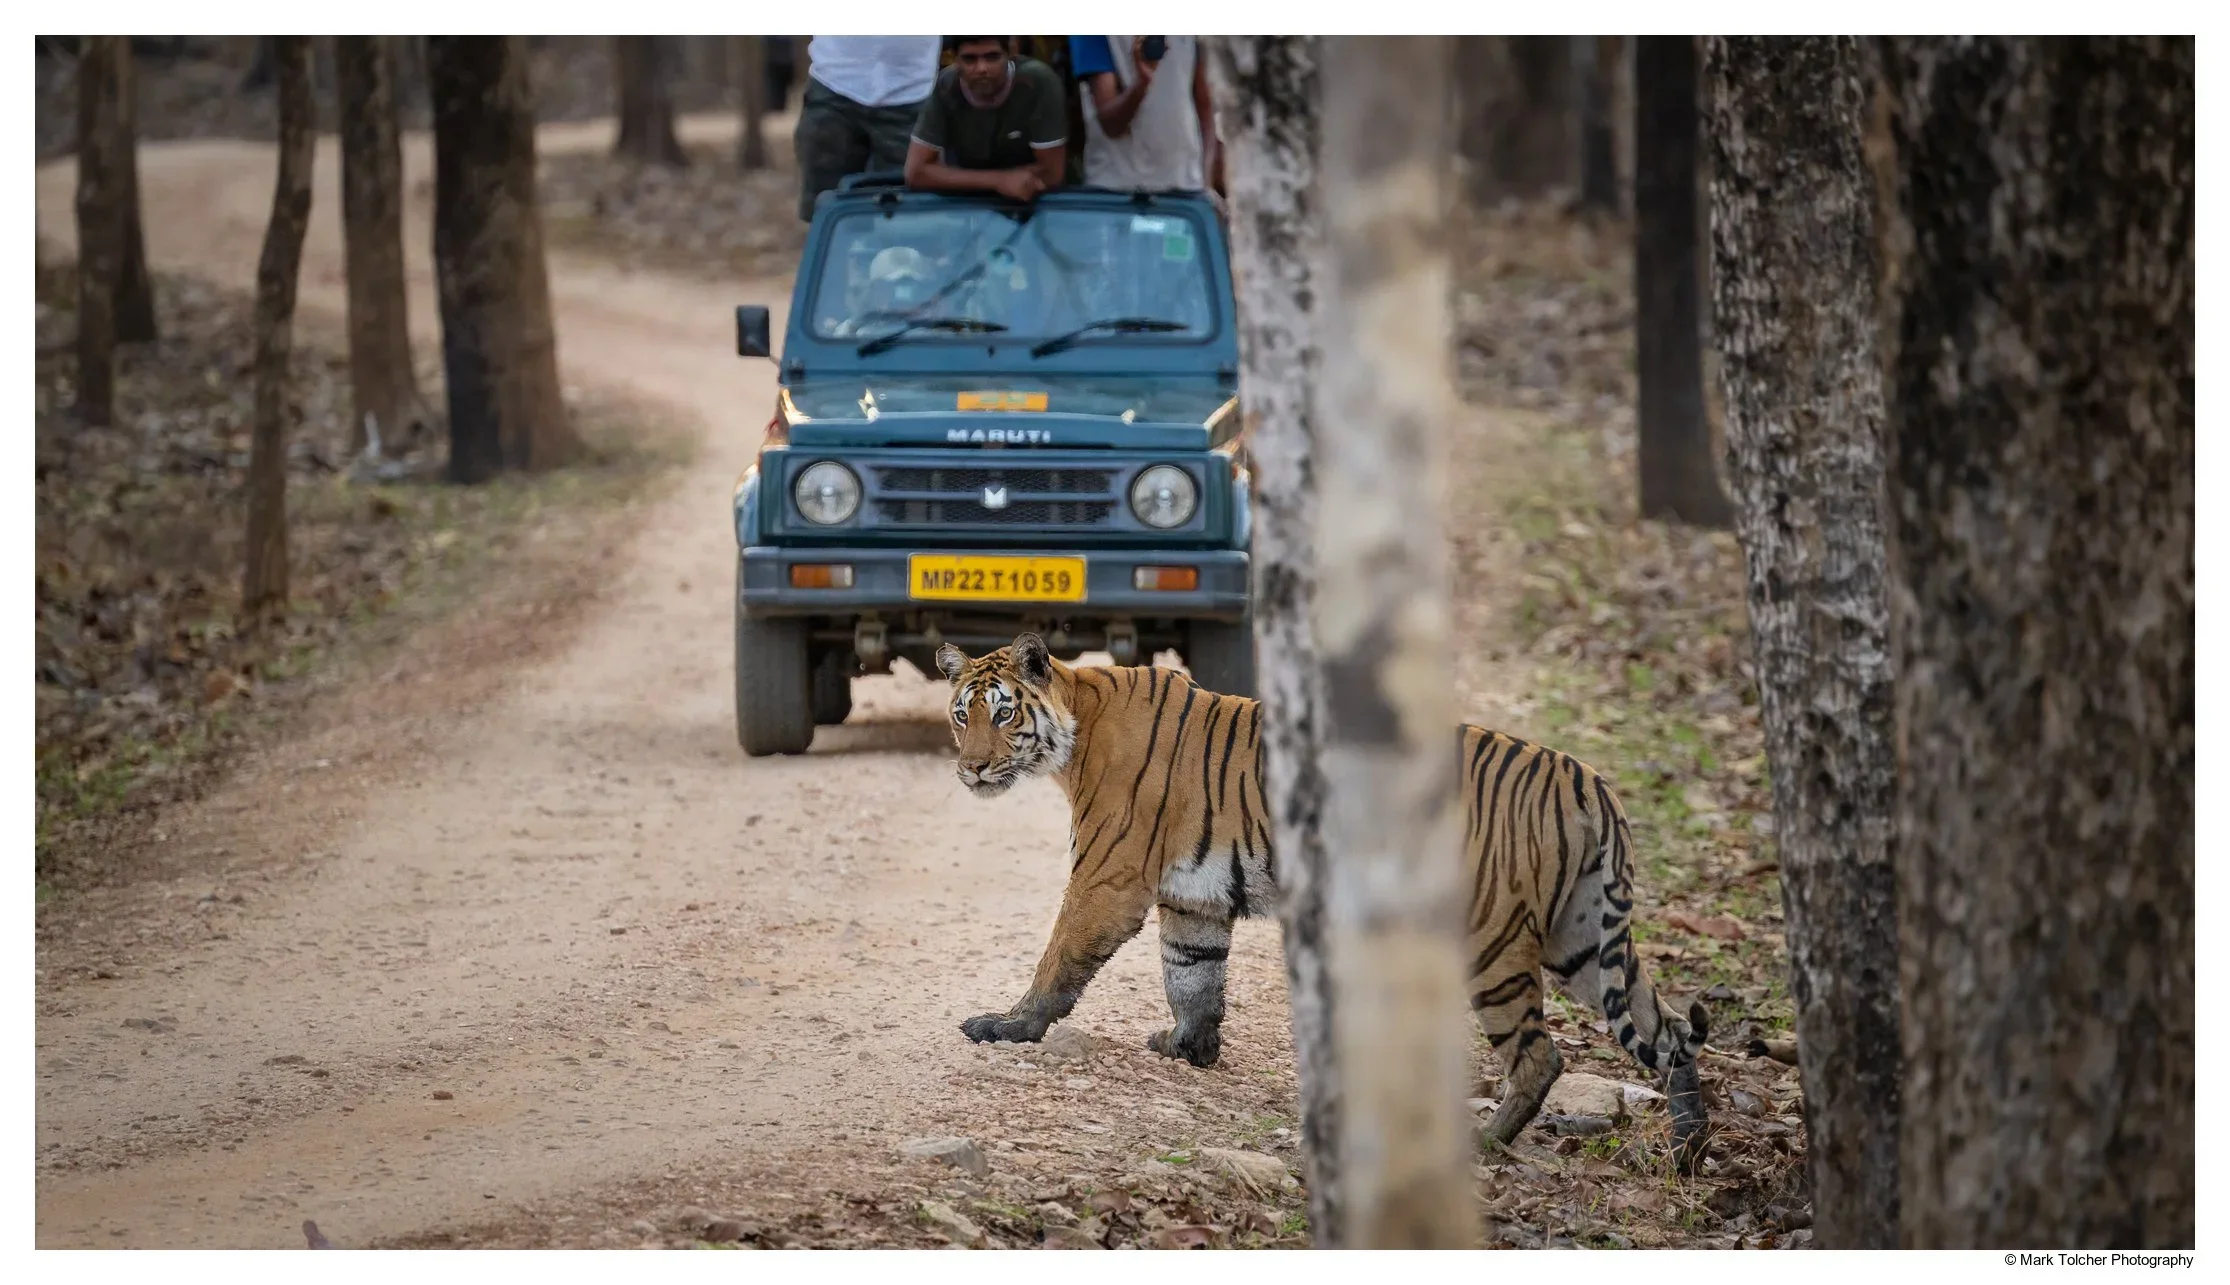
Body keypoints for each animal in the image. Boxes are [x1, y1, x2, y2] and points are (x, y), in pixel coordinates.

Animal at [935, 632, 1710, 1165]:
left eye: (1003, 716)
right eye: (960, 716)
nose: (969, 769)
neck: (1076, 724)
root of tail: (1589, 780)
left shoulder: (1107, 877)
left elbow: (1059, 957)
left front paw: (1009, 1025)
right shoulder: (1193, 898)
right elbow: (1191, 975)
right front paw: (1189, 1046)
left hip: (1492, 937)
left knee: (1541, 1055)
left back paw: (1485, 1143)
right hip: (1582, 938)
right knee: (1670, 1028)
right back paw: (1691, 1148)